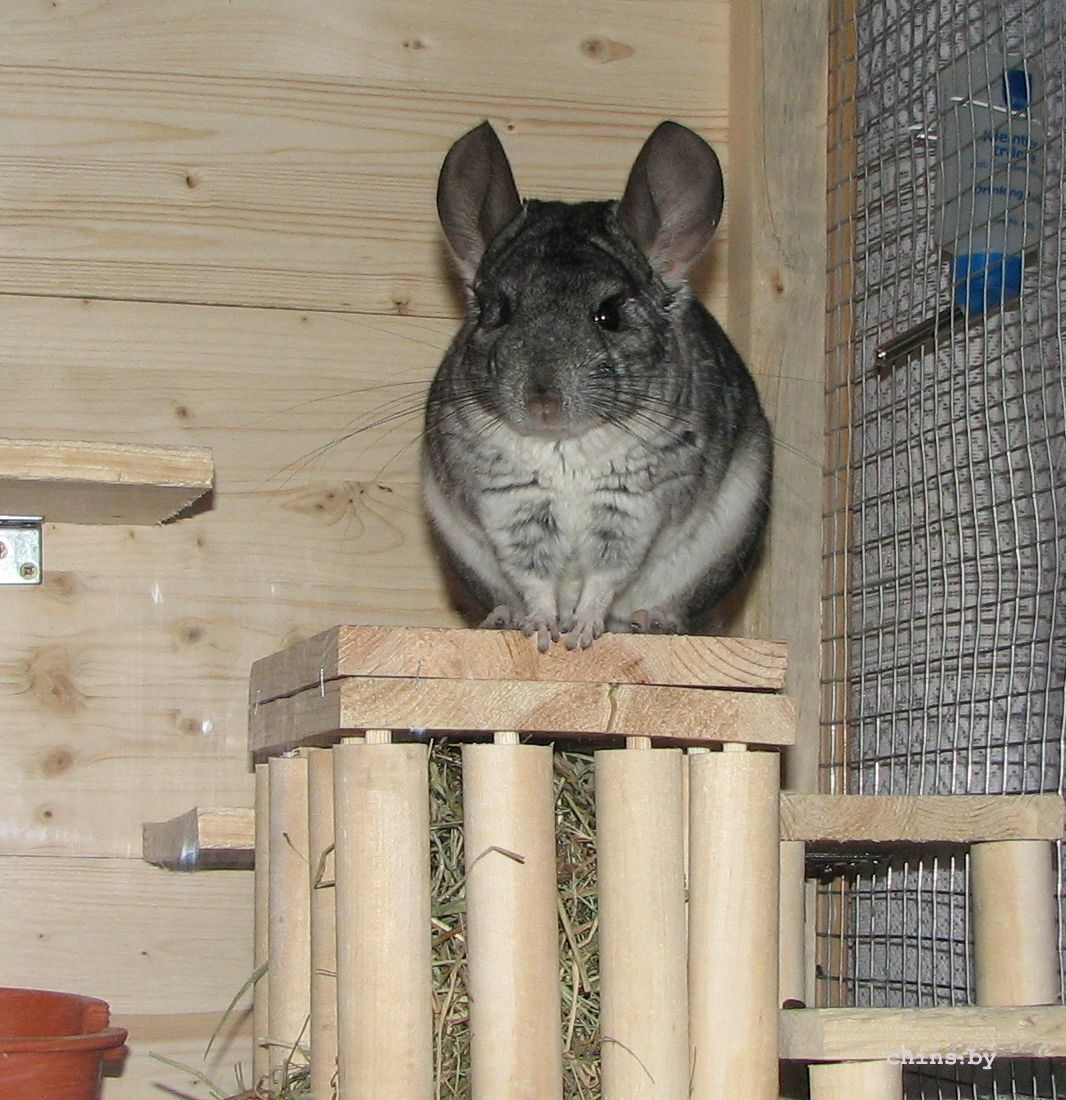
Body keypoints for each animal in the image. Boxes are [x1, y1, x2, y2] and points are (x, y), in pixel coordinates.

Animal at [423, 120, 772, 651]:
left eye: (608, 314)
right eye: (498, 312)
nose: (541, 400)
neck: (563, 446)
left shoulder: (632, 508)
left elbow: (604, 578)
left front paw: (582, 633)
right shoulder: (512, 507)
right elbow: (535, 579)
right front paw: (542, 629)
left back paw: (654, 621)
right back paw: (505, 615)